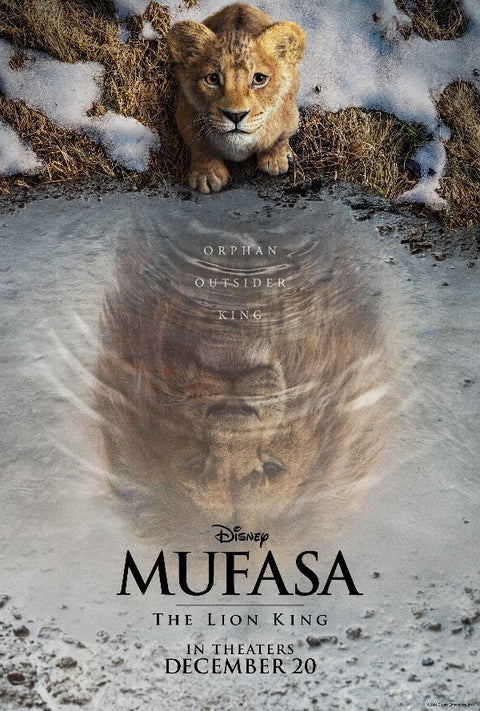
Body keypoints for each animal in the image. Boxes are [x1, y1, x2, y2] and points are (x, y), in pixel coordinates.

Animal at [167, 3, 305, 193]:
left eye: (259, 79)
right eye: (212, 79)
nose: (236, 115)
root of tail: (240, 5)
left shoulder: (290, 116)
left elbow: (280, 138)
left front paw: (275, 158)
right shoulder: (185, 115)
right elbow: (199, 145)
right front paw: (207, 174)